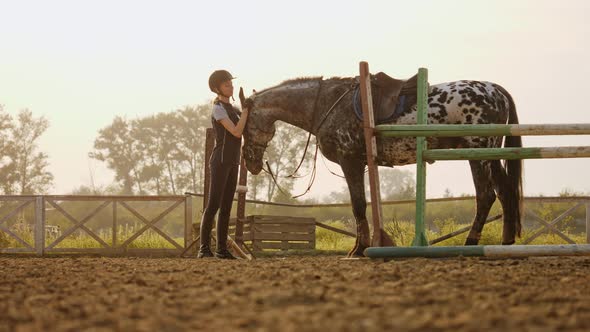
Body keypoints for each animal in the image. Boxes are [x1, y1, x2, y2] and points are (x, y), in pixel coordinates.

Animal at [238, 72, 524, 258]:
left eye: (244, 123)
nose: (250, 163)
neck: (326, 104)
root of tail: (496, 90)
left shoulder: (350, 162)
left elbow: (358, 205)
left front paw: (359, 248)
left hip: (479, 155)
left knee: (485, 196)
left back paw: (470, 242)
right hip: (493, 155)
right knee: (506, 192)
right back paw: (506, 242)